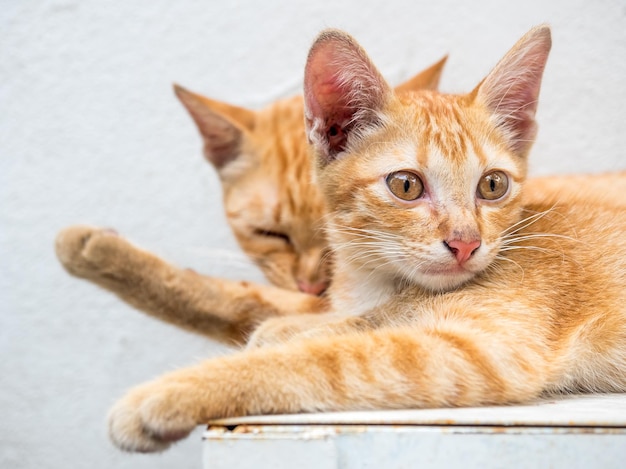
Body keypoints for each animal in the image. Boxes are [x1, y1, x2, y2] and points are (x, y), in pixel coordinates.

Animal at [57, 23, 624, 452]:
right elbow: (307, 314)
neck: (381, 282)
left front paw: (173, 392)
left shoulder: (482, 350)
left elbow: (325, 359)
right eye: (406, 185)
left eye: (492, 185)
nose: (466, 243)